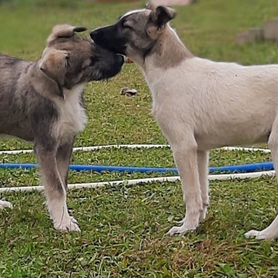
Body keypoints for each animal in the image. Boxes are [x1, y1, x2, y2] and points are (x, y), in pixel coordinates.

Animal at [0, 24, 124, 232]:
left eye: (94, 45)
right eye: (90, 62)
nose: (122, 59)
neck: (66, 94)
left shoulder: (65, 144)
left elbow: (63, 184)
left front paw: (64, 217)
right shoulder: (46, 147)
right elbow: (56, 187)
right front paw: (62, 223)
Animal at [90, 7, 278, 241]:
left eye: (126, 25)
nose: (91, 34)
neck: (169, 69)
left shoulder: (182, 147)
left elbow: (190, 194)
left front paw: (186, 228)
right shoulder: (199, 150)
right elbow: (201, 192)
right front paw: (196, 223)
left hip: (275, 143)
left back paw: (265, 234)